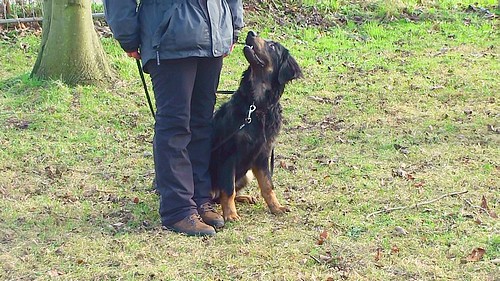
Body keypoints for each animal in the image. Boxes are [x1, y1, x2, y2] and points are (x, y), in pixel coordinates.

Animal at [210, 31, 302, 221]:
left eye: (273, 46)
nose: (250, 33)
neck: (256, 108)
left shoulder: (262, 155)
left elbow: (268, 185)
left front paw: (276, 207)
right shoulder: (228, 155)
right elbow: (228, 189)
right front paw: (230, 215)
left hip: (247, 175)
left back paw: (245, 197)